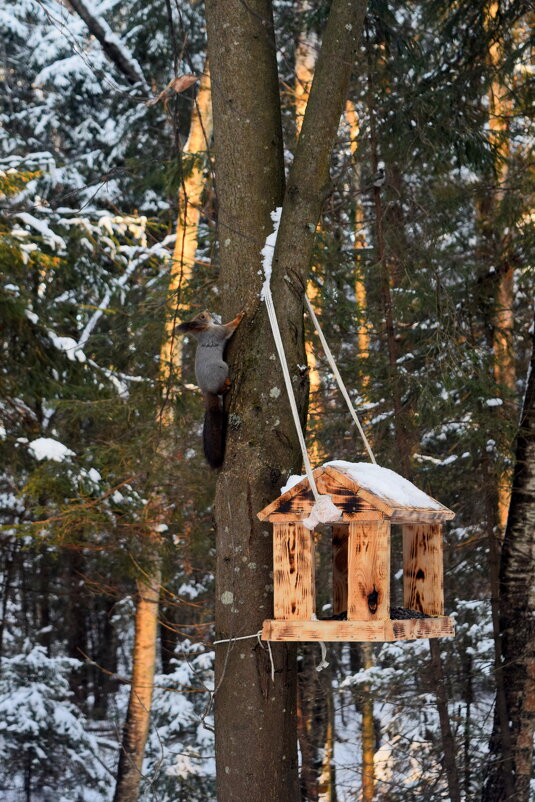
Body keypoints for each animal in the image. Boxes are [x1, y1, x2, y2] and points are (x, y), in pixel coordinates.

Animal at [177, 308, 244, 468]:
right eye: (202, 317)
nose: (207, 310)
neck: (205, 330)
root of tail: (206, 391)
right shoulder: (218, 332)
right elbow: (229, 328)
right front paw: (240, 316)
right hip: (221, 368)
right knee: (219, 389)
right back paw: (226, 385)